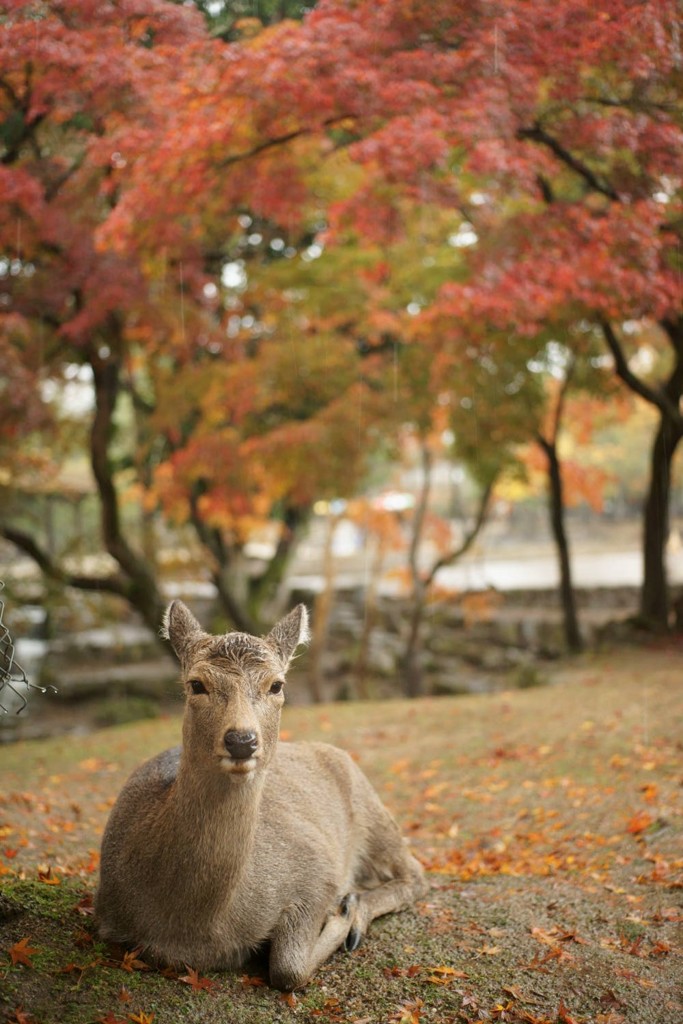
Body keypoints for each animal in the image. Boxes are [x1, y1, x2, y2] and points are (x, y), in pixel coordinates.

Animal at [94, 598, 428, 991]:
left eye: (276, 685)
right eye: (196, 684)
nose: (242, 740)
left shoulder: (317, 869)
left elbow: (288, 968)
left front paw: (343, 912)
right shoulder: (107, 918)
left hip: (373, 811)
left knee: (416, 874)